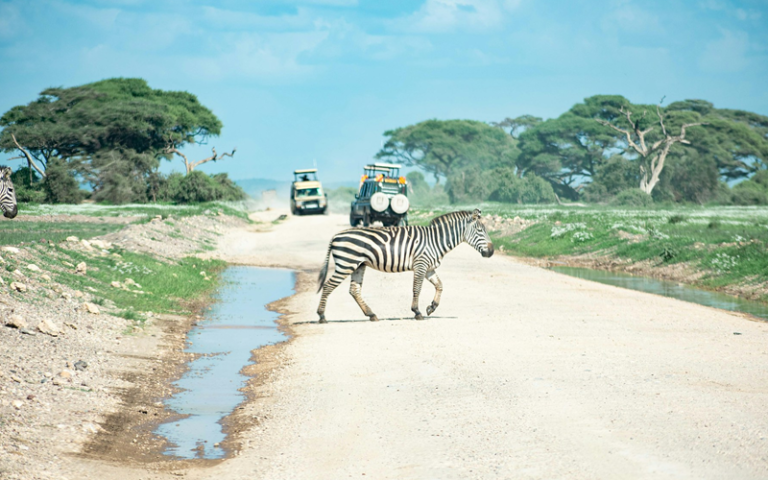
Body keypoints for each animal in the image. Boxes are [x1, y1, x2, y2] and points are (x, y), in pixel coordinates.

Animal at [316, 207, 492, 322]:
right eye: (480, 230)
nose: (491, 251)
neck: (436, 241)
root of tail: (335, 236)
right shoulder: (421, 264)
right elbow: (417, 289)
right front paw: (417, 312)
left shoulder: (429, 268)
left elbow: (440, 285)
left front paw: (432, 307)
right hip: (346, 263)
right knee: (328, 285)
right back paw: (322, 316)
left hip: (358, 265)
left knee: (354, 290)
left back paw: (371, 315)